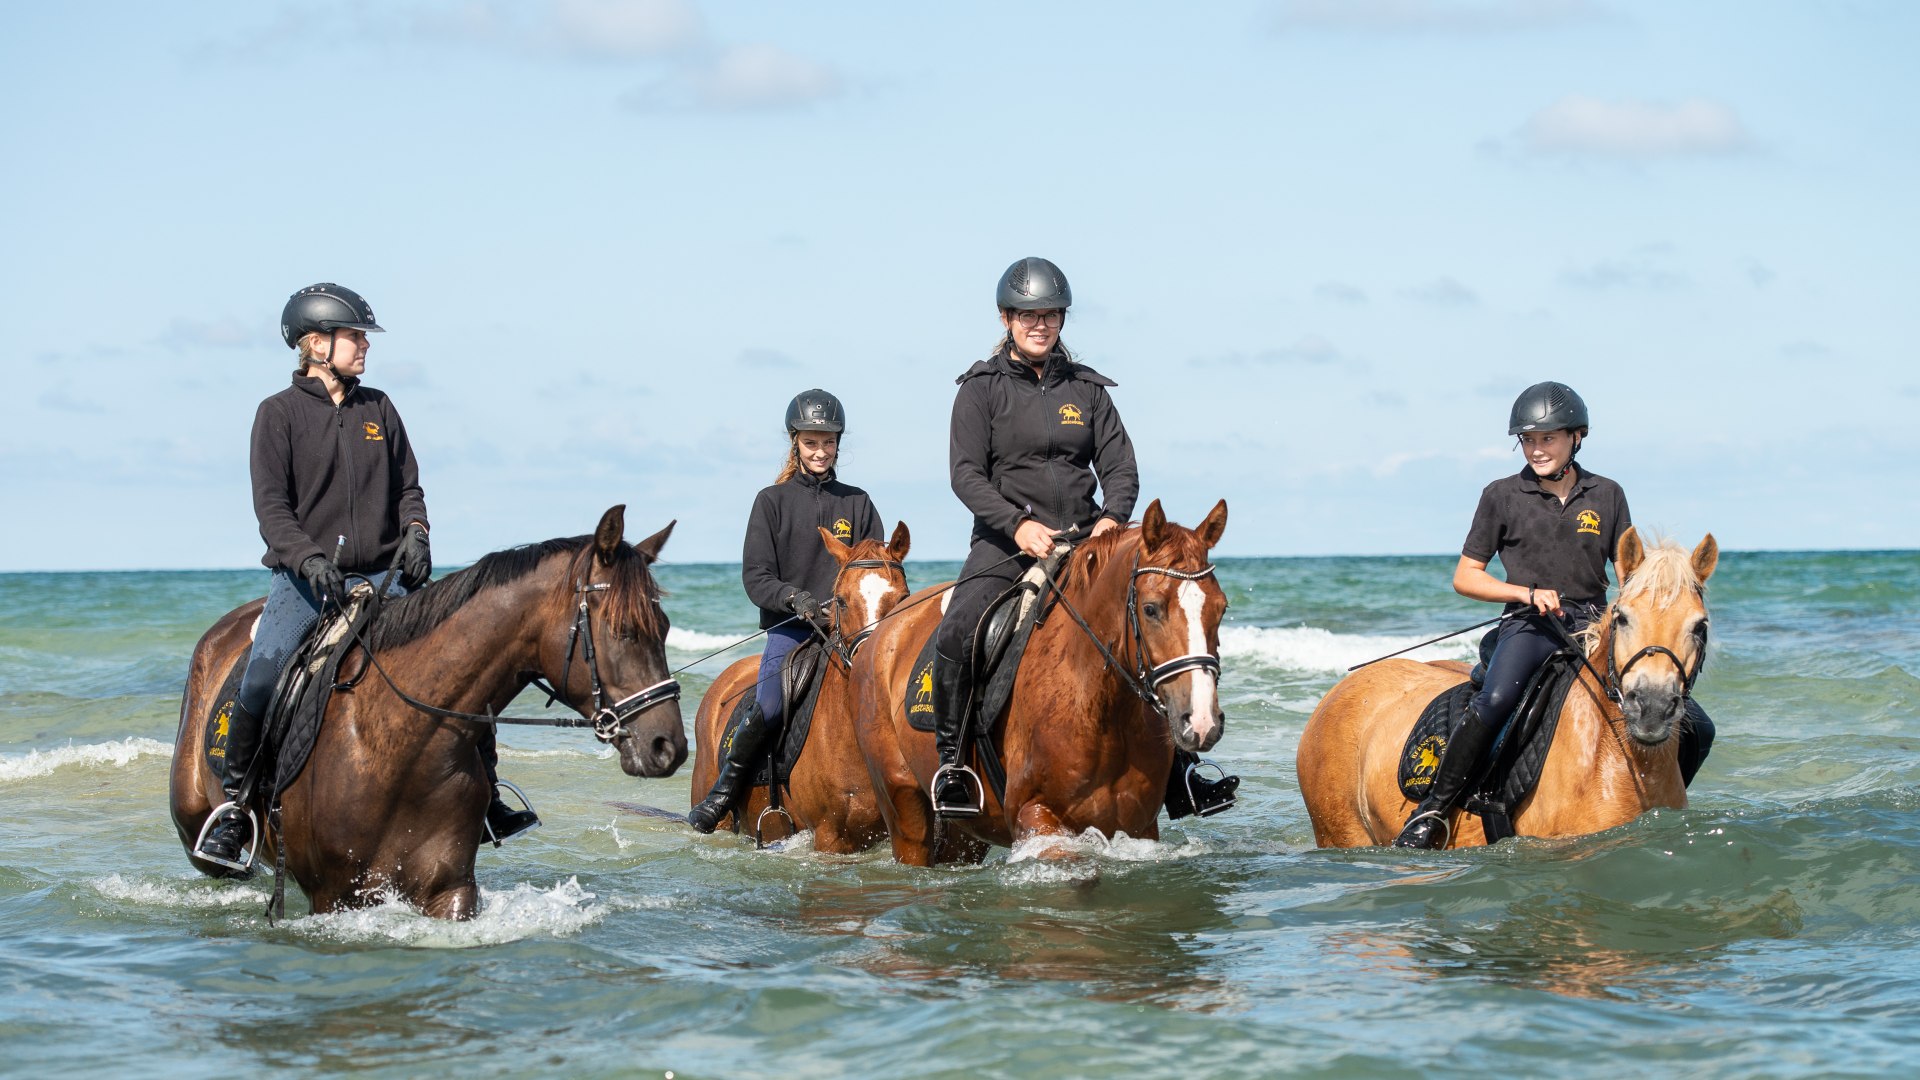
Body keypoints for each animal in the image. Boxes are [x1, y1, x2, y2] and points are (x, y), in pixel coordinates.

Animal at [165, 507, 687, 914]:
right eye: (622, 629)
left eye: (664, 627)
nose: (669, 747)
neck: (398, 747)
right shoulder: (334, 897)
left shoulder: (448, 889)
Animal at [856, 499, 1228, 864]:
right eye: (1151, 609)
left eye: (1221, 608)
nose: (1202, 722)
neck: (1102, 707)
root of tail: (881, 631)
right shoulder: (1036, 816)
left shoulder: (1139, 827)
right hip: (903, 806)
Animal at [1297, 526, 1720, 845]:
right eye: (1623, 617)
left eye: (1700, 626)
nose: (1651, 708)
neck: (1616, 759)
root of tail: (1336, 694)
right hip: (1341, 832)